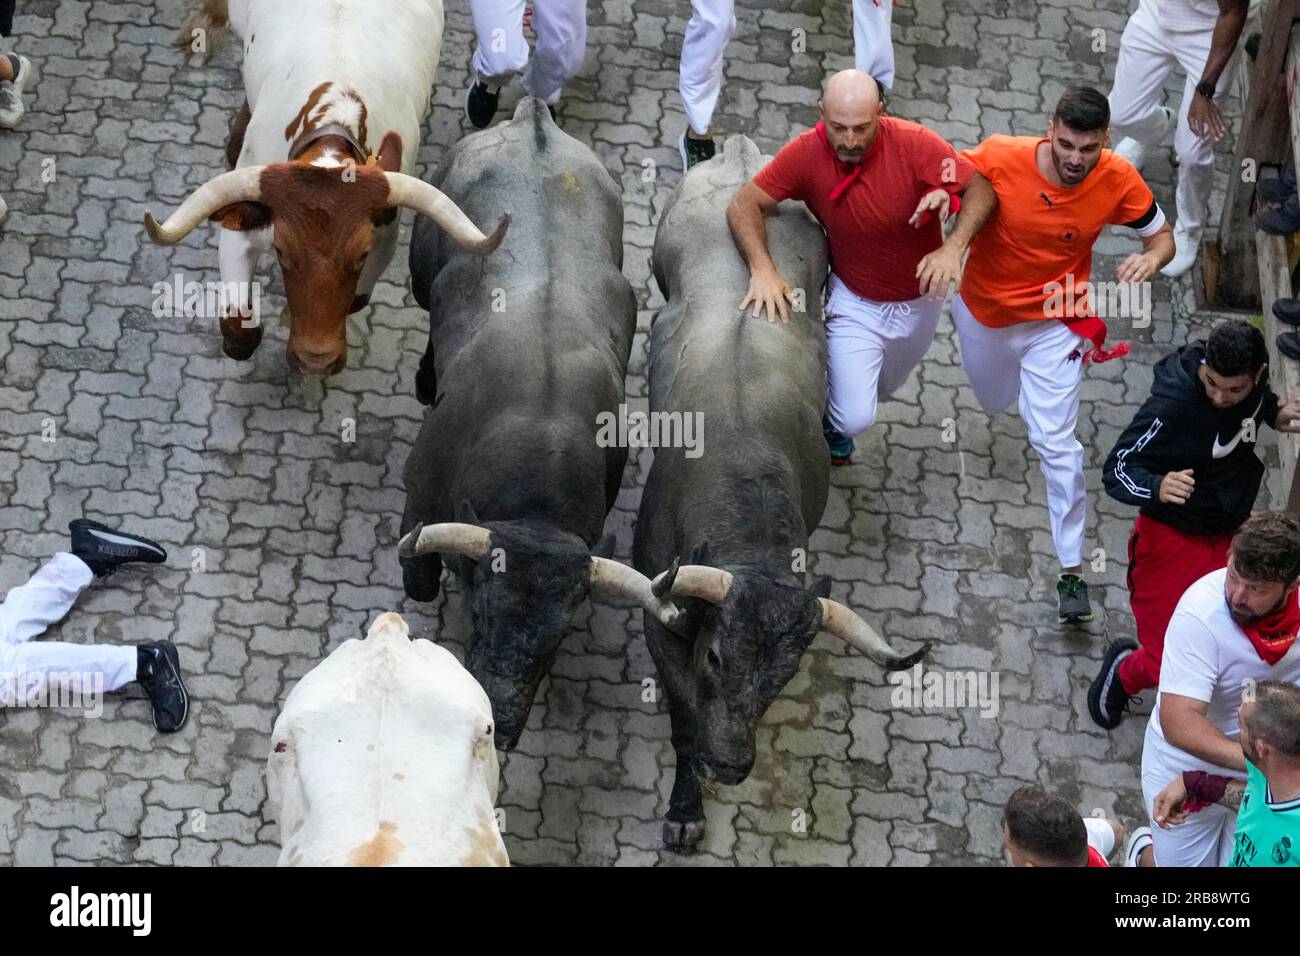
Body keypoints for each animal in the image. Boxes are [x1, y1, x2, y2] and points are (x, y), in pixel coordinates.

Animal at [144, 0, 504, 374]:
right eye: (281, 251)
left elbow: (354, 301)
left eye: (361, 255)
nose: (315, 361)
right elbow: (241, 331)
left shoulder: (383, 241)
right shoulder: (242, 225)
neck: (334, 122)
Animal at [400, 98, 676, 754]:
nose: (498, 718)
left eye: (553, 643)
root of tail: (534, 120)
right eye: (480, 614)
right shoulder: (420, 492)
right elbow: (419, 578)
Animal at [631, 136, 930, 853]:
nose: (731, 765)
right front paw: (685, 808)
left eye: (786, 675)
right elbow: (684, 713)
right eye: (716, 654)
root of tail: (742, 155)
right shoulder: (661, 618)